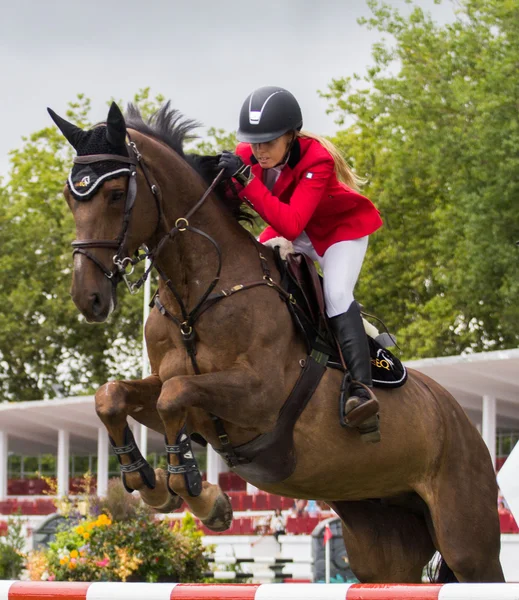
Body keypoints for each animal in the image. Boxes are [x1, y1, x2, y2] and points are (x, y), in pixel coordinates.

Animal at [47, 102, 504, 580]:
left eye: (117, 194)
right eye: (69, 197)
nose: (88, 297)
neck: (198, 297)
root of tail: (463, 421)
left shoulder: (259, 396)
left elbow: (175, 395)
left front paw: (201, 497)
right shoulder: (185, 401)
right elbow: (113, 396)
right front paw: (154, 487)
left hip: (467, 539)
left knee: (474, 559)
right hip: (380, 538)